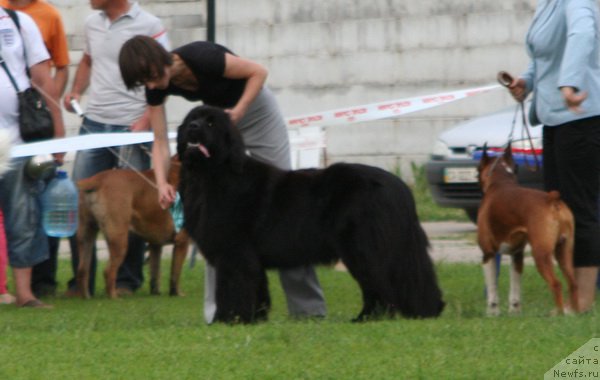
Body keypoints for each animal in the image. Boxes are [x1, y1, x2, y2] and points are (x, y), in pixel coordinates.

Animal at [75, 157, 189, 300]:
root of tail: (96, 180)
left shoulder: (155, 245)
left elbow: (155, 273)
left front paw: (156, 294)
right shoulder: (182, 241)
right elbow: (175, 273)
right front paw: (176, 293)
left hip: (87, 235)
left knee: (82, 269)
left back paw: (86, 297)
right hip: (119, 239)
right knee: (109, 271)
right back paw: (114, 297)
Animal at [176, 105, 442, 322]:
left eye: (211, 123)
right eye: (192, 119)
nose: (193, 127)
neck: (209, 176)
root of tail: (399, 186)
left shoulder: (234, 253)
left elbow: (232, 288)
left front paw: (229, 319)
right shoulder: (250, 258)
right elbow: (257, 290)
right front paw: (254, 318)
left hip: (363, 247)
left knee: (379, 285)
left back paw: (366, 318)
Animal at [476, 142, 580, 314]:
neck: (500, 182)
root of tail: (552, 199)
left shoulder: (488, 253)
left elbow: (492, 289)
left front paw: (492, 313)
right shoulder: (517, 255)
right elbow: (515, 290)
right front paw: (514, 313)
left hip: (541, 254)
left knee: (556, 283)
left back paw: (559, 314)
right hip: (564, 250)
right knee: (572, 282)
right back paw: (576, 313)